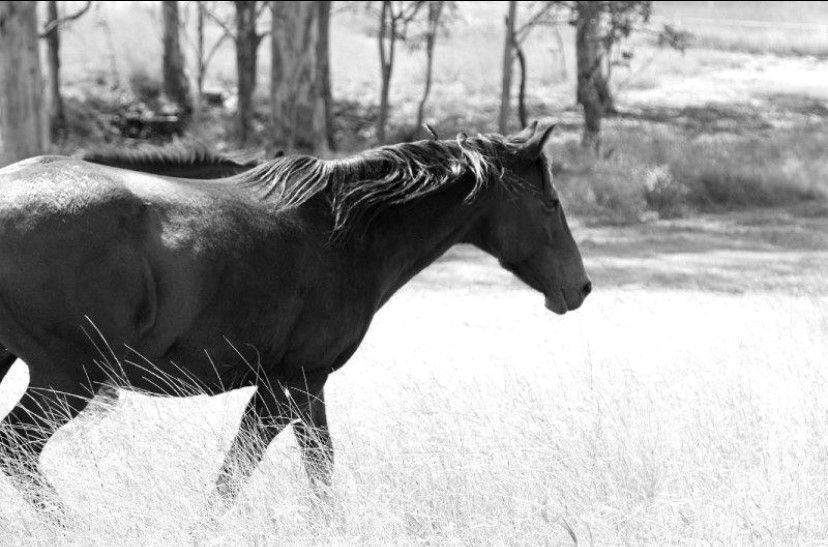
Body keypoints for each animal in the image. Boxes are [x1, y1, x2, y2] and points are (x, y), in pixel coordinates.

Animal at [0, 120, 591, 512]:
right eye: (551, 202)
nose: (580, 288)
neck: (343, 230)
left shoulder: (290, 388)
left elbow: (268, 477)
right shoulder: (295, 384)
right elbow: (283, 479)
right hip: (68, 379)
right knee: (16, 449)